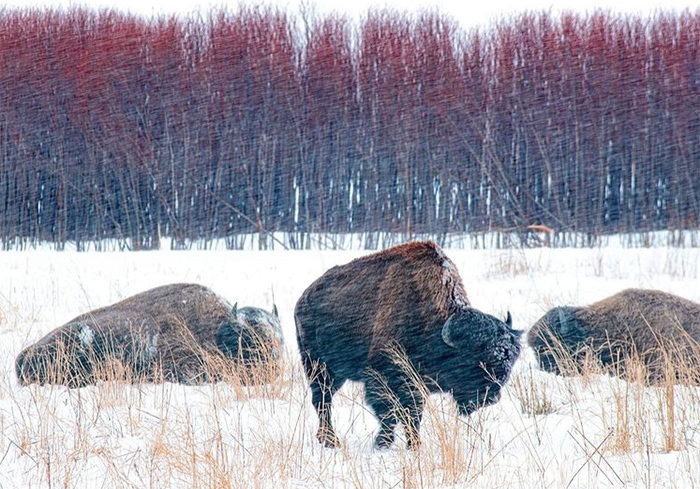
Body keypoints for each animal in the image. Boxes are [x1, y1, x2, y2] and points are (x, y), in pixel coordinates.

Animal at [294, 241, 522, 449]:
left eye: (510, 360)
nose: (491, 397)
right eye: (476, 359)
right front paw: (384, 443)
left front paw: (413, 445)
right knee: (322, 400)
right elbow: (392, 412)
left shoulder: (416, 384)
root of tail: (303, 298)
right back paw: (330, 441)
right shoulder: (384, 376)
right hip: (318, 366)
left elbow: (412, 414)